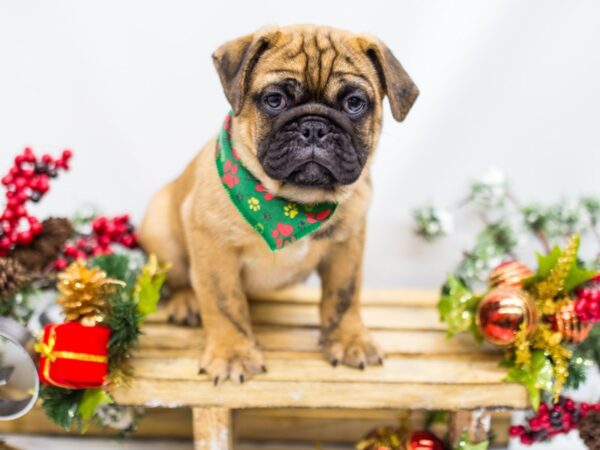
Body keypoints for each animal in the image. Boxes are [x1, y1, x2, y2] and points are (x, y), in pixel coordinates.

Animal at [140, 23, 418, 384]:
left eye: (354, 103)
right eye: (275, 100)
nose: (314, 127)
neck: (292, 204)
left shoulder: (347, 246)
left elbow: (344, 297)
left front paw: (350, 339)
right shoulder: (213, 249)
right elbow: (223, 303)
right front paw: (233, 353)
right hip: (160, 231)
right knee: (178, 278)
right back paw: (186, 302)